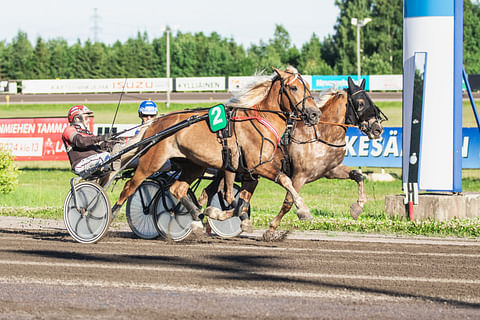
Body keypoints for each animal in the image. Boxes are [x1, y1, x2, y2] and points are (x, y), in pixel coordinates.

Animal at [112, 67, 320, 235]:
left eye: (308, 88)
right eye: (293, 88)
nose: (315, 114)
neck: (262, 121)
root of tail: (155, 123)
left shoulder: (248, 172)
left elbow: (240, 203)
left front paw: (221, 215)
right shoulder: (256, 167)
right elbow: (283, 181)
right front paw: (303, 210)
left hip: (193, 165)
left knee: (177, 189)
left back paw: (196, 217)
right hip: (151, 162)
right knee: (130, 187)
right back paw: (109, 215)